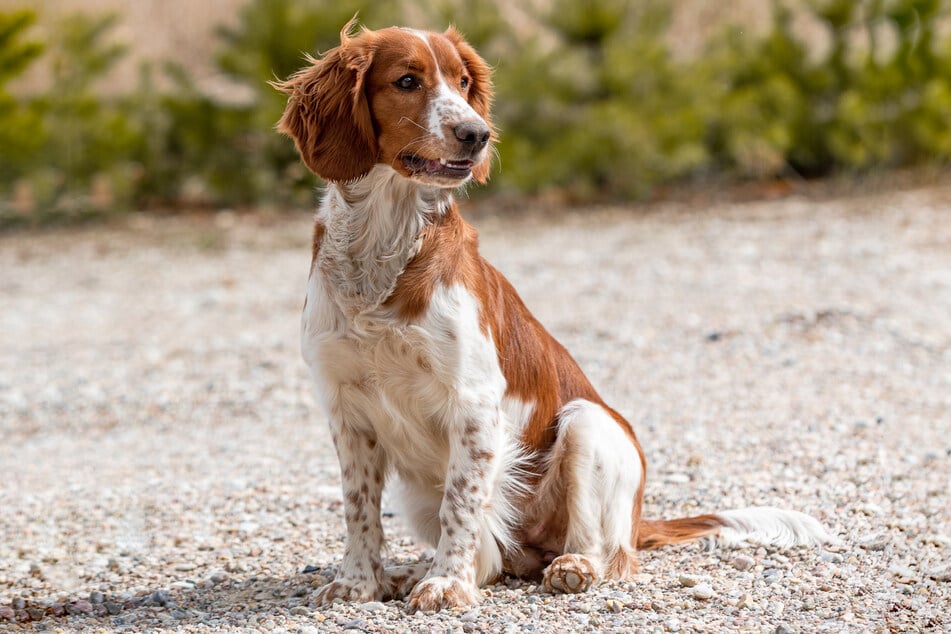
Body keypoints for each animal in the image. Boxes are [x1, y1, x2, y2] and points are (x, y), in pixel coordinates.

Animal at [272, 22, 828, 608]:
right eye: (407, 81)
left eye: (464, 82)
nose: (477, 134)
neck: (383, 247)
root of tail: (639, 522)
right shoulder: (346, 410)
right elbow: (359, 510)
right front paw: (359, 582)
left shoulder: (475, 404)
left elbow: (461, 506)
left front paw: (446, 584)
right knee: (496, 559)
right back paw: (410, 572)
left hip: (585, 423)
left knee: (600, 550)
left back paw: (570, 566)